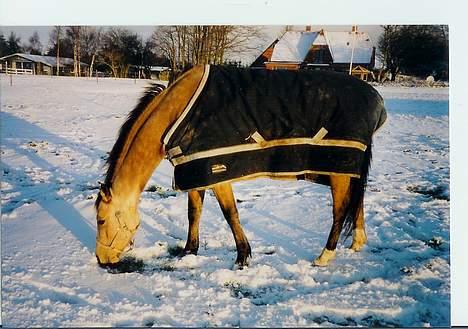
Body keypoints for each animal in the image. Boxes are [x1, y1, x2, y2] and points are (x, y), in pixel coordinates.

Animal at [95, 64, 388, 270]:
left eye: (100, 219)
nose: (102, 259)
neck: (178, 113)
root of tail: (376, 98)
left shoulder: (216, 170)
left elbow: (230, 214)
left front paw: (243, 257)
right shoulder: (194, 168)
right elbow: (194, 213)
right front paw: (190, 251)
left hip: (339, 168)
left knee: (340, 211)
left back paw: (324, 256)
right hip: (345, 170)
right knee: (357, 201)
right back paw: (357, 244)